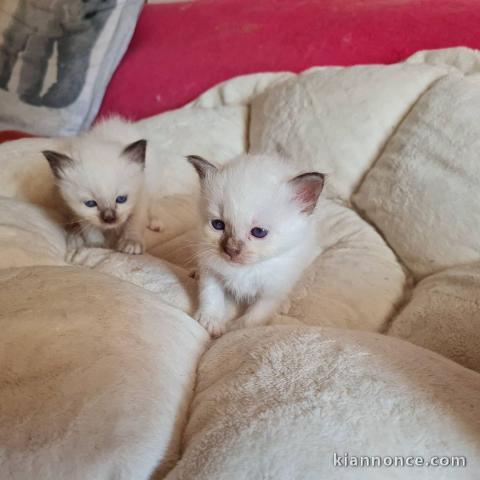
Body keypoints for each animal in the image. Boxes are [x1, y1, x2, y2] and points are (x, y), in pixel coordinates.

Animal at [188, 154, 326, 338]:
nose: (231, 250)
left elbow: (253, 318)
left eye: (259, 232)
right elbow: (210, 294)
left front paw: (233, 330)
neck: (243, 270)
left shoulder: (271, 293)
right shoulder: (210, 269)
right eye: (218, 225)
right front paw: (210, 321)